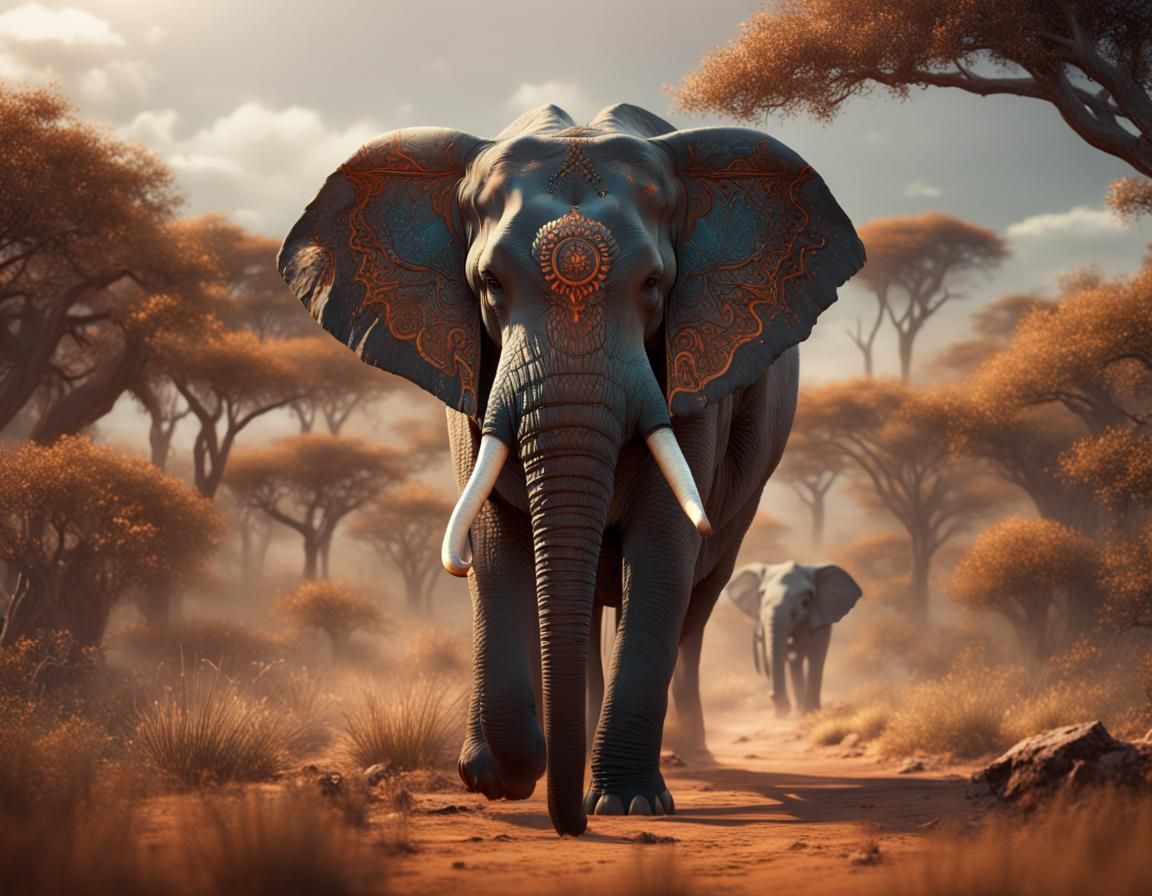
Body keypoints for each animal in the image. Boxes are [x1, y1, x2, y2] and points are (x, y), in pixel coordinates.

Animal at [724, 562, 863, 718]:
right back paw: (798, 710)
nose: (772, 696)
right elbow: (792, 657)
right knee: (796, 663)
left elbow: (814, 655)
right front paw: (792, 713)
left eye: (805, 602)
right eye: (761, 596)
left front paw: (810, 712)